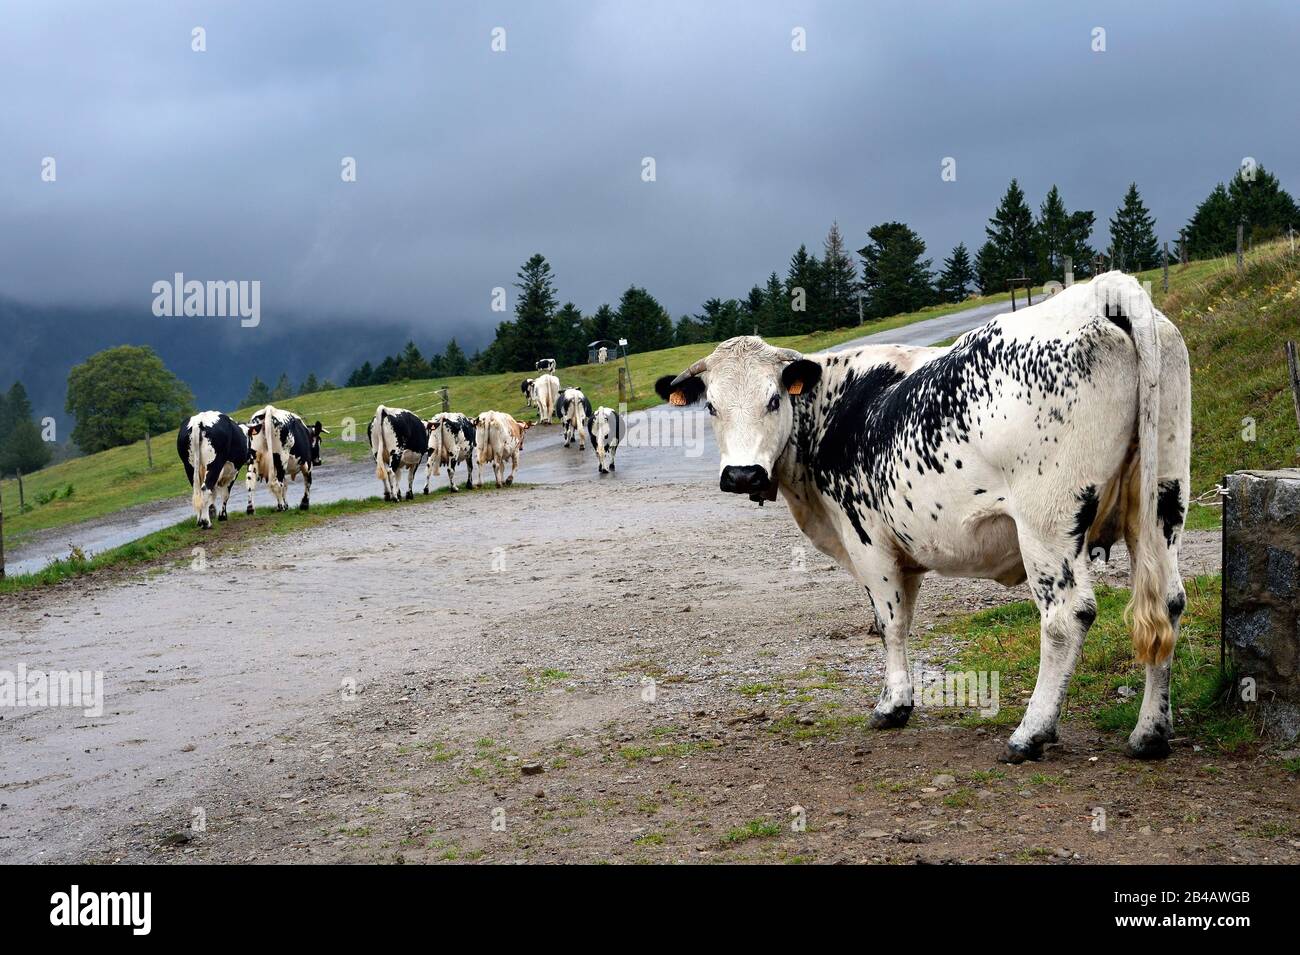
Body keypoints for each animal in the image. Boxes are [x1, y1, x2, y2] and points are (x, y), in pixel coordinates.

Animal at [660, 274, 1190, 764]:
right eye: (712, 406)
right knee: (1167, 602)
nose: (742, 474)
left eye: (773, 399)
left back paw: (1030, 733)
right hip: (1162, 501)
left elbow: (890, 622)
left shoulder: (868, 541)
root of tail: (1100, 292)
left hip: (1048, 522)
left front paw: (892, 705)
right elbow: (899, 618)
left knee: (1066, 616)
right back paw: (1149, 733)